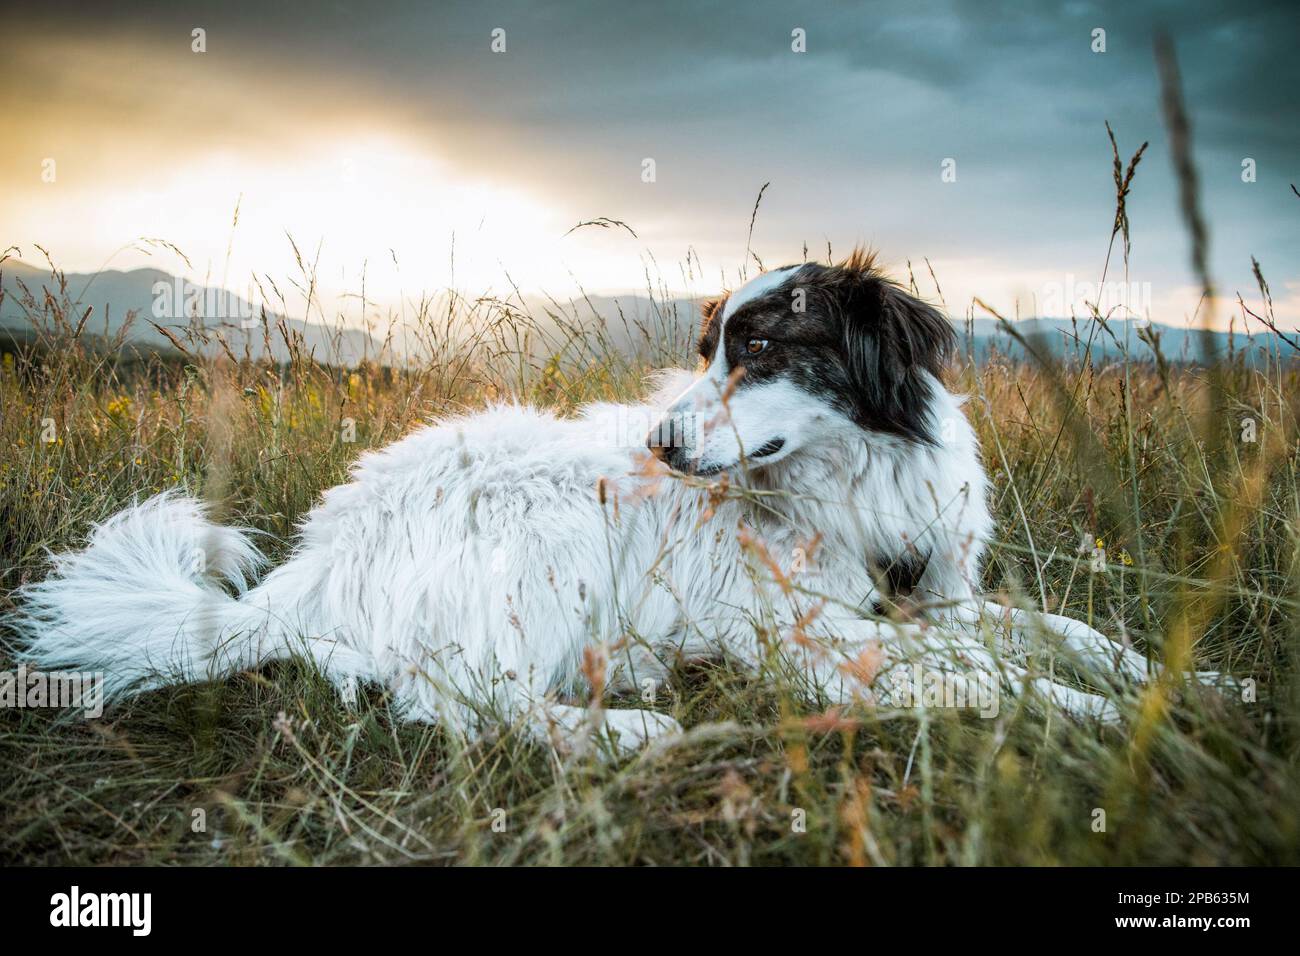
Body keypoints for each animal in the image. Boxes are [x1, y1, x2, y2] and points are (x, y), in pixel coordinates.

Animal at [10, 254, 1227, 754]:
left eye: (763, 350)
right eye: (706, 352)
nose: (658, 443)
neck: (848, 482)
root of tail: (313, 566)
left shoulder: (925, 595)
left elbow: (1060, 629)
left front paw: (1189, 678)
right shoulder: (811, 635)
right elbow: (992, 670)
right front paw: (1102, 715)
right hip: (543, 523)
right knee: (456, 700)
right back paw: (629, 726)